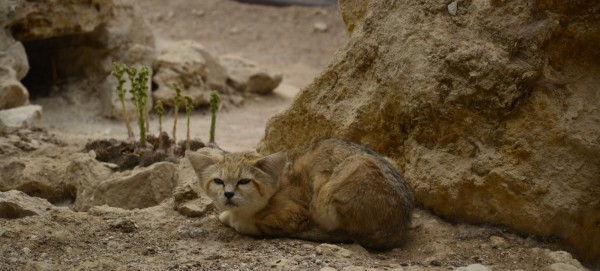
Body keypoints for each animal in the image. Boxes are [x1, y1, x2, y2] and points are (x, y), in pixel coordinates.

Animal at [186, 139, 412, 250]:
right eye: (218, 181)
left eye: (244, 181)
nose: (228, 194)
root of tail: (402, 227)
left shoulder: (296, 217)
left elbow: (245, 224)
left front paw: (233, 219)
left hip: (345, 177)